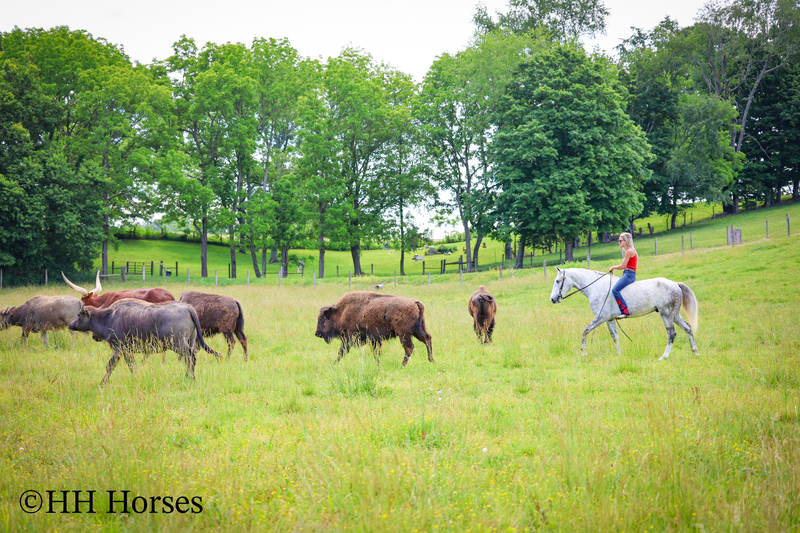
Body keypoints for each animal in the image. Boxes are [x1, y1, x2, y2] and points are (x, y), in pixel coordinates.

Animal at [549, 267, 699, 361]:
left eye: (558, 281)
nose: (552, 299)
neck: (595, 287)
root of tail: (675, 284)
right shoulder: (609, 319)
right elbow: (615, 337)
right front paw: (619, 355)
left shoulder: (601, 317)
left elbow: (585, 330)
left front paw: (583, 352)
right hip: (674, 315)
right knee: (688, 327)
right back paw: (695, 351)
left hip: (666, 314)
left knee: (671, 333)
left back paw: (664, 357)